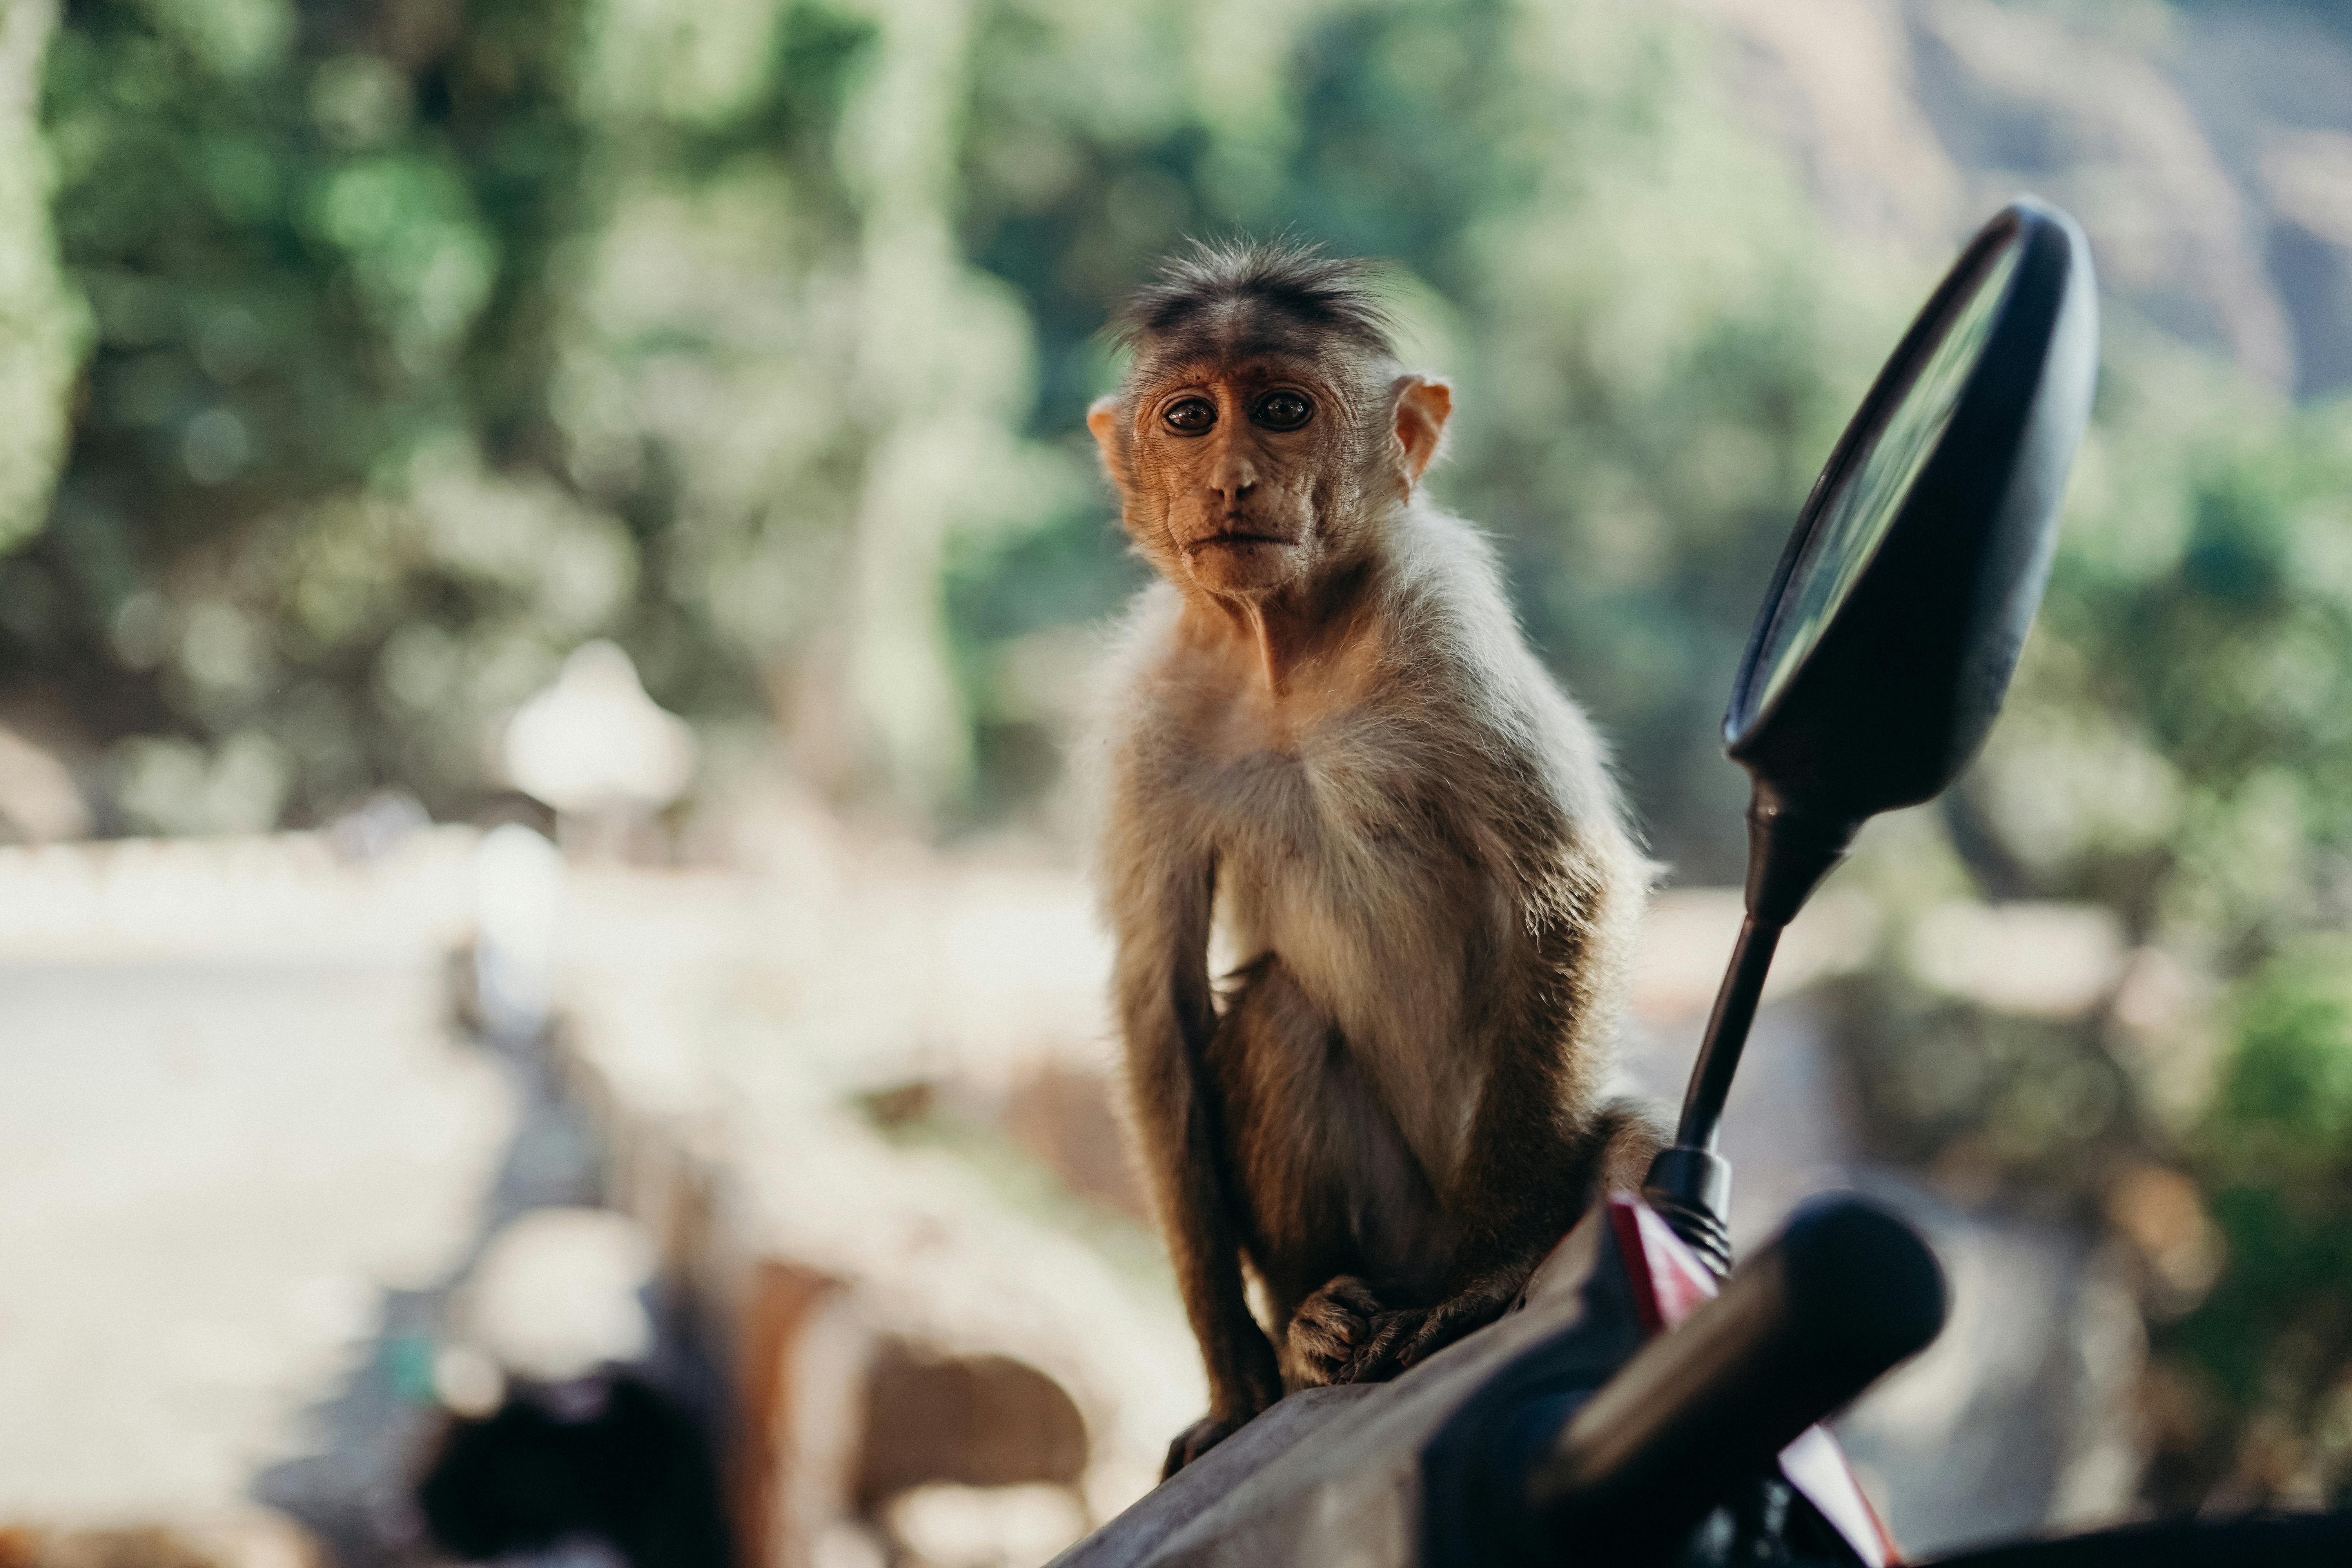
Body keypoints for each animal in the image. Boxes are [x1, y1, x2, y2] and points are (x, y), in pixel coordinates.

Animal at [1077, 240, 1656, 1476]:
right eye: (1190, 417)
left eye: (1284, 412)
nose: (1232, 481)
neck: (1286, 649)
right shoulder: (1148, 707)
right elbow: (1156, 991)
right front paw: (1235, 1371)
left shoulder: (1441, 627)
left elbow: (1569, 887)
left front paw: (1495, 1274)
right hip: (1387, 1226)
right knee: (1281, 1013)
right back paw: (1313, 1323)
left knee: (1631, 1153)